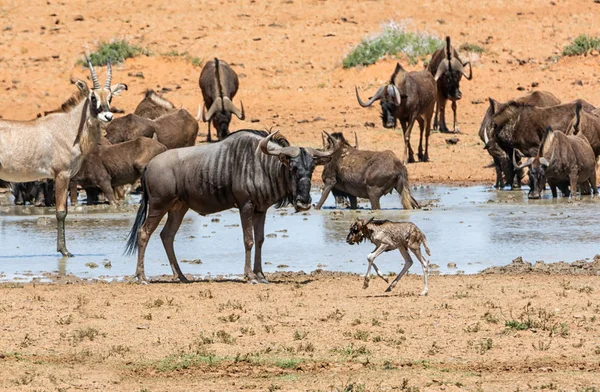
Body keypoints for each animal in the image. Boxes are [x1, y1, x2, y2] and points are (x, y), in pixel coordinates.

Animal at [0, 56, 126, 258]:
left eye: (110, 97)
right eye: (93, 97)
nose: (108, 116)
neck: (70, 127)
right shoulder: (62, 175)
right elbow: (60, 212)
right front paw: (65, 251)